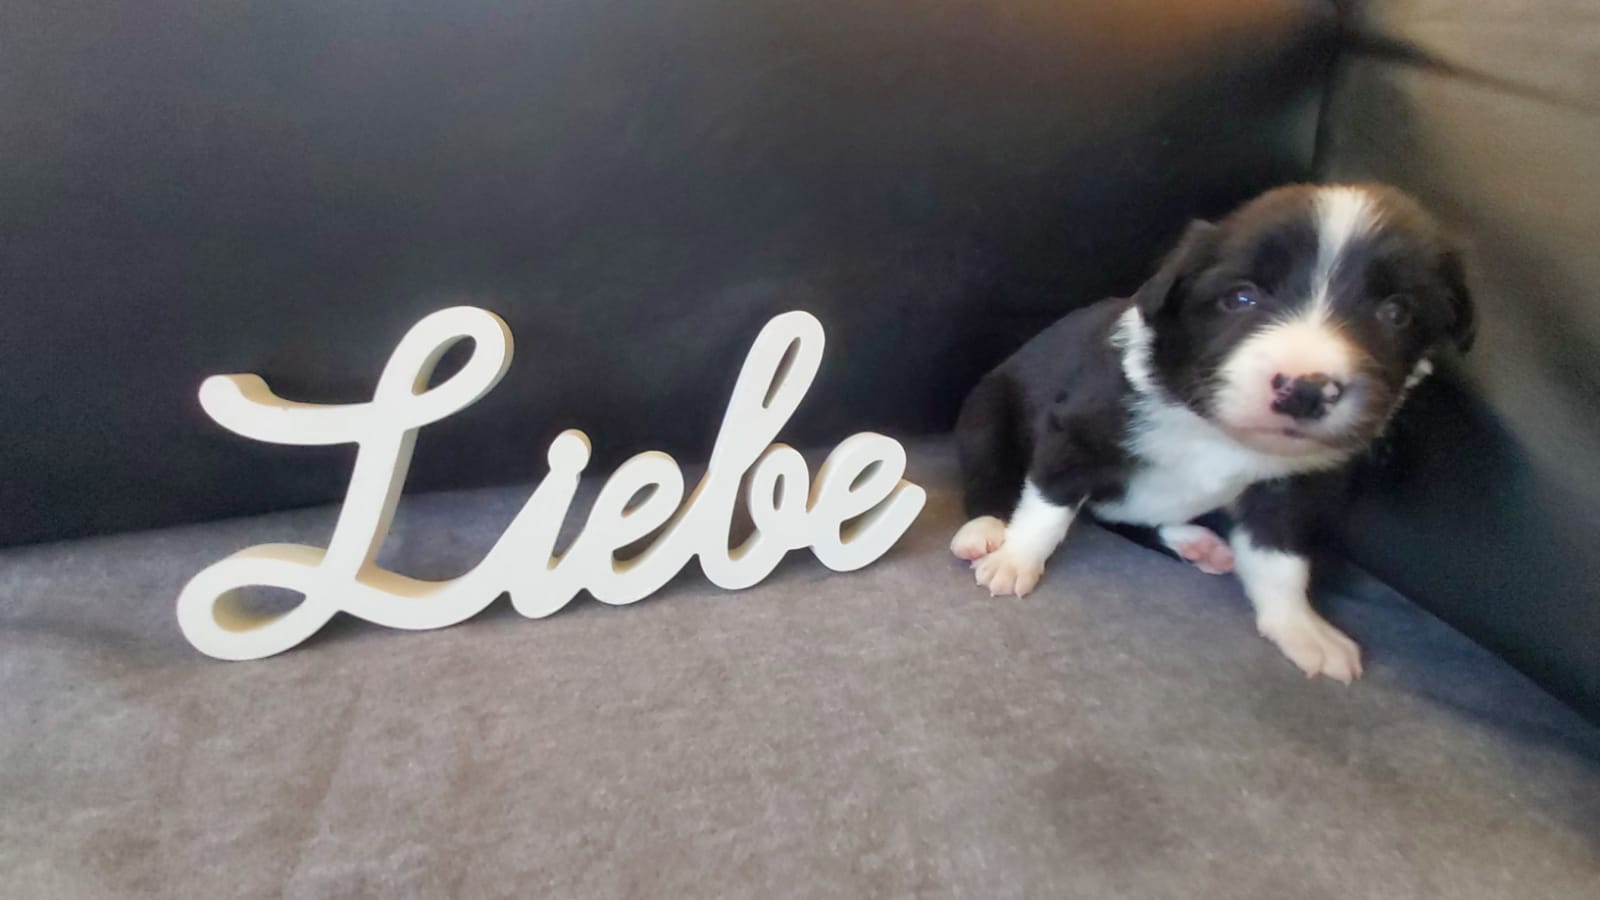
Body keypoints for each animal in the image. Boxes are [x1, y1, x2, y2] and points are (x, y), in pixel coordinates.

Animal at [950, 183, 1474, 682]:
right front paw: (1016, 559)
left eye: (1397, 313)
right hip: (987, 410)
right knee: (993, 470)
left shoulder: (1288, 488)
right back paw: (986, 530)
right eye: (1241, 297)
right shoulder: (1077, 432)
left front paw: (1300, 627)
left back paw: (1195, 542)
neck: (1218, 430)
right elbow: (1047, 508)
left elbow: (1281, 561)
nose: (1305, 391)